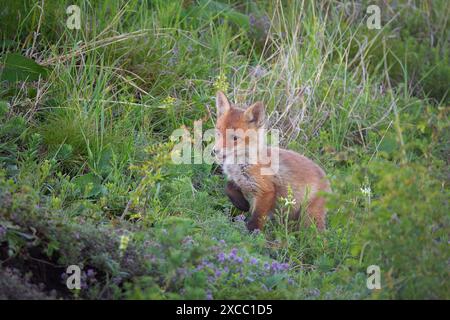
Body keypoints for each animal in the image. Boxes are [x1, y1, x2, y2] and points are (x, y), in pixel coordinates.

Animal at [213, 91, 328, 231]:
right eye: (218, 132)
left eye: (234, 138)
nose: (214, 151)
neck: (241, 165)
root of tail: (326, 178)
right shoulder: (239, 181)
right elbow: (228, 188)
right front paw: (242, 205)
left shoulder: (266, 191)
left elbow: (257, 218)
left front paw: (251, 232)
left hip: (308, 217)